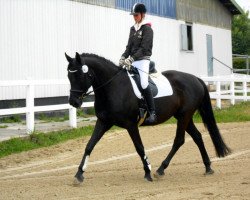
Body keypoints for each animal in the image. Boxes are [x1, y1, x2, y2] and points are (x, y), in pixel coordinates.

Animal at [65, 52, 230, 184]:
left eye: (80, 75)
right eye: (68, 76)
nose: (73, 102)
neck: (112, 87)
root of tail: (195, 78)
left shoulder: (131, 125)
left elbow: (139, 147)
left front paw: (148, 172)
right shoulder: (104, 122)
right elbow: (89, 145)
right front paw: (79, 174)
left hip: (184, 116)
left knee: (179, 140)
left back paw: (160, 170)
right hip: (184, 117)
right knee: (197, 137)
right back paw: (207, 167)